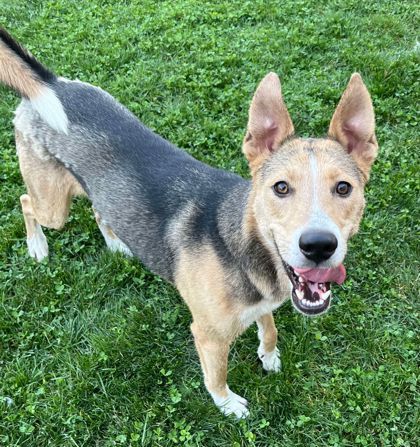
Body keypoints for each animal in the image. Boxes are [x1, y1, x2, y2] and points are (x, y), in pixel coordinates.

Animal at [0, 28, 378, 420]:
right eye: (281, 188)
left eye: (344, 188)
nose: (319, 246)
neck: (245, 249)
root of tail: (51, 84)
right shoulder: (209, 335)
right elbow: (217, 376)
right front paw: (228, 404)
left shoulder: (265, 303)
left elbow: (270, 328)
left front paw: (269, 354)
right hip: (52, 206)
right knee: (26, 202)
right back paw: (38, 246)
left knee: (99, 209)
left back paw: (116, 242)